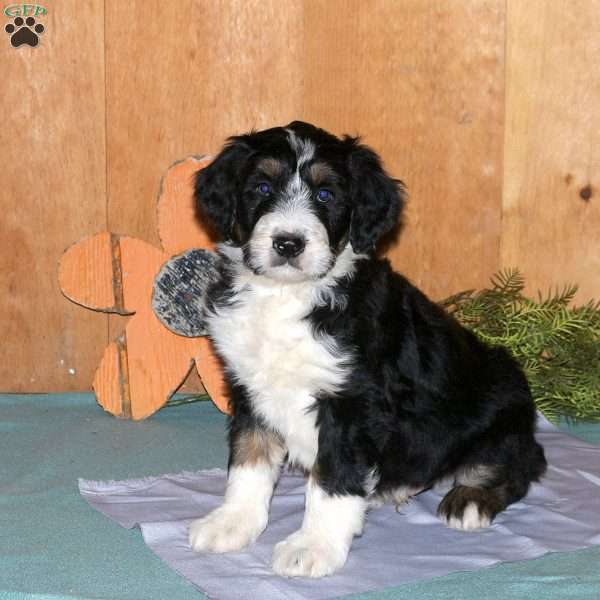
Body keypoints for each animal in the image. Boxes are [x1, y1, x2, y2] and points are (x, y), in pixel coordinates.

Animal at [189, 120, 548, 576]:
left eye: (326, 195)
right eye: (262, 188)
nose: (288, 243)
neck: (288, 297)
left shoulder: (351, 403)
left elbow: (332, 479)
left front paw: (313, 546)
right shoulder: (249, 388)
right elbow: (248, 463)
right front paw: (232, 522)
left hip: (501, 409)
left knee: (520, 464)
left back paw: (470, 499)